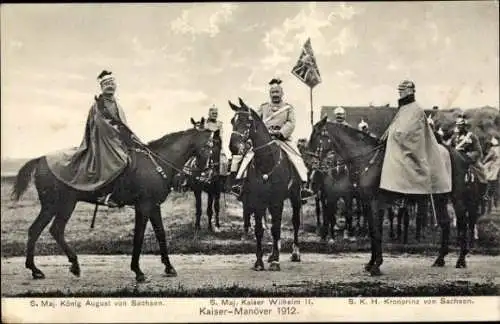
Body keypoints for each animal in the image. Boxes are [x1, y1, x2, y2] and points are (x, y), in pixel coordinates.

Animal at [11, 121, 219, 280]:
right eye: (211, 146)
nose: (211, 173)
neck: (157, 164)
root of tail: (40, 159)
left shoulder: (154, 207)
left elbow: (161, 234)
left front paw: (168, 267)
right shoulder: (143, 207)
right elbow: (139, 237)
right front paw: (138, 271)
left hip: (59, 205)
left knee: (47, 230)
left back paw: (57, 267)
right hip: (59, 205)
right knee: (44, 230)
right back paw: (41, 269)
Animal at [229, 97, 300, 270]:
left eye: (248, 121)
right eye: (232, 121)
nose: (233, 147)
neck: (267, 162)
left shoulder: (277, 201)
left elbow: (276, 229)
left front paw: (275, 261)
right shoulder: (258, 201)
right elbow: (259, 230)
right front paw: (259, 262)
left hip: (295, 197)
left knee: (295, 222)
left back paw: (295, 253)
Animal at [312, 116, 480, 276]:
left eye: (317, 134)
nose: (312, 165)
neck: (369, 161)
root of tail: (461, 156)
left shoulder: (376, 204)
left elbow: (377, 233)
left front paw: (376, 266)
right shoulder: (367, 204)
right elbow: (373, 232)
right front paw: (371, 263)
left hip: (457, 197)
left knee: (462, 224)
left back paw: (461, 260)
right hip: (440, 198)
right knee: (445, 222)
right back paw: (440, 259)